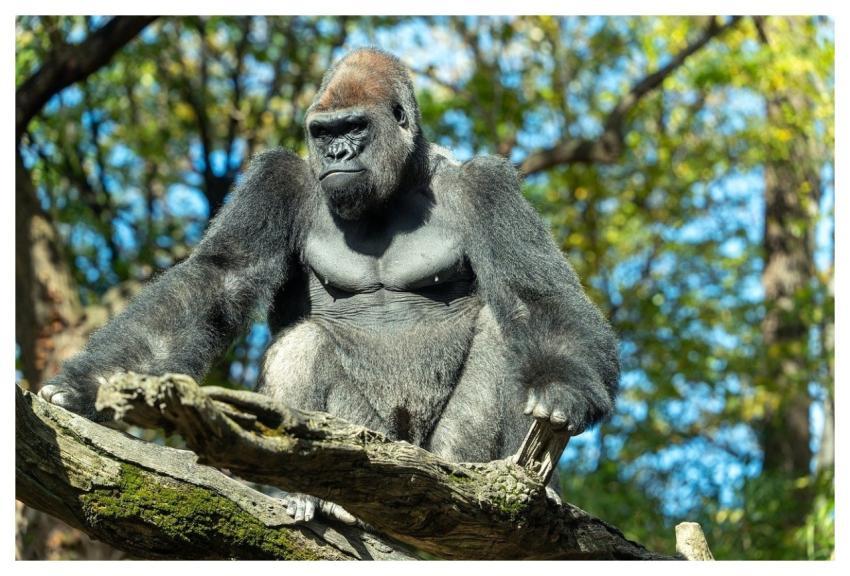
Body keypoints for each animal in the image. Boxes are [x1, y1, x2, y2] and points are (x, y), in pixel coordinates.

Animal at [39, 48, 619, 524]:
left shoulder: (487, 184)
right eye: (322, 133)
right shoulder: (276, 178)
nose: (338, 155)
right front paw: (87, 388)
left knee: (499, 344)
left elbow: (533, 295)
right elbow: (220, 278)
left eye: (354, 127)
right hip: (370, 447)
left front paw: (565, 392)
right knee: (305, 347)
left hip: (426, 459)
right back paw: (314, 494)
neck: (398, 183)